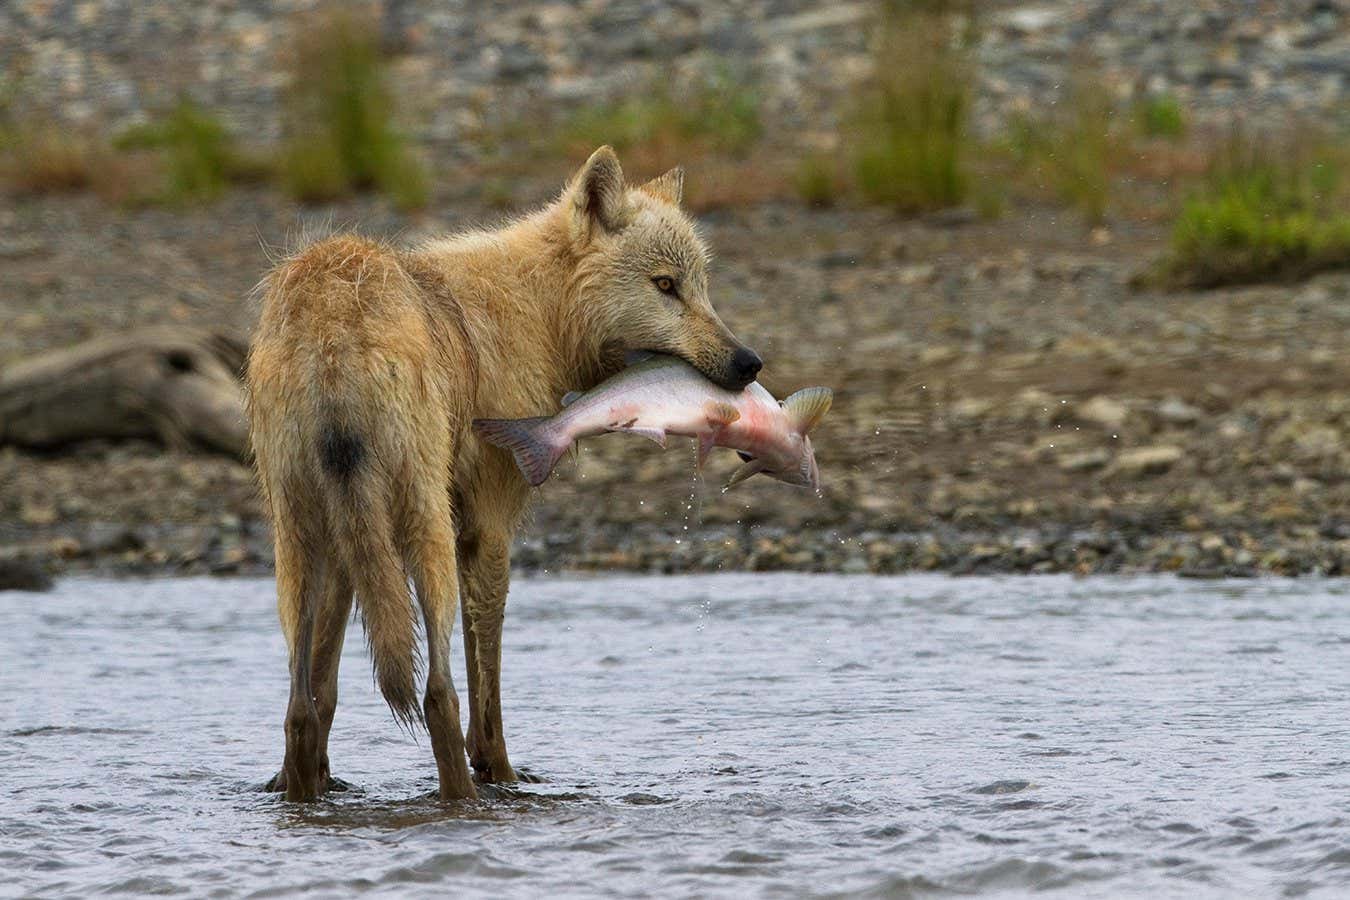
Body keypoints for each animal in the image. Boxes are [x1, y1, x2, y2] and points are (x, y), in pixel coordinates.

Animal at [245, 147, 761, 801]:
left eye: (701, 287)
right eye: (665, 286)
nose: (749, 363)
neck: (540, 313)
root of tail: (330, 318)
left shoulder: (353, 550)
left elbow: (325, 689)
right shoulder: (488, 529)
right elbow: (484, 679)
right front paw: (503, 775)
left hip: (303, 540)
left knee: (299, 709)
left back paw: (305, 794)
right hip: (425, 535)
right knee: (437, 694)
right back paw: (461, 798)